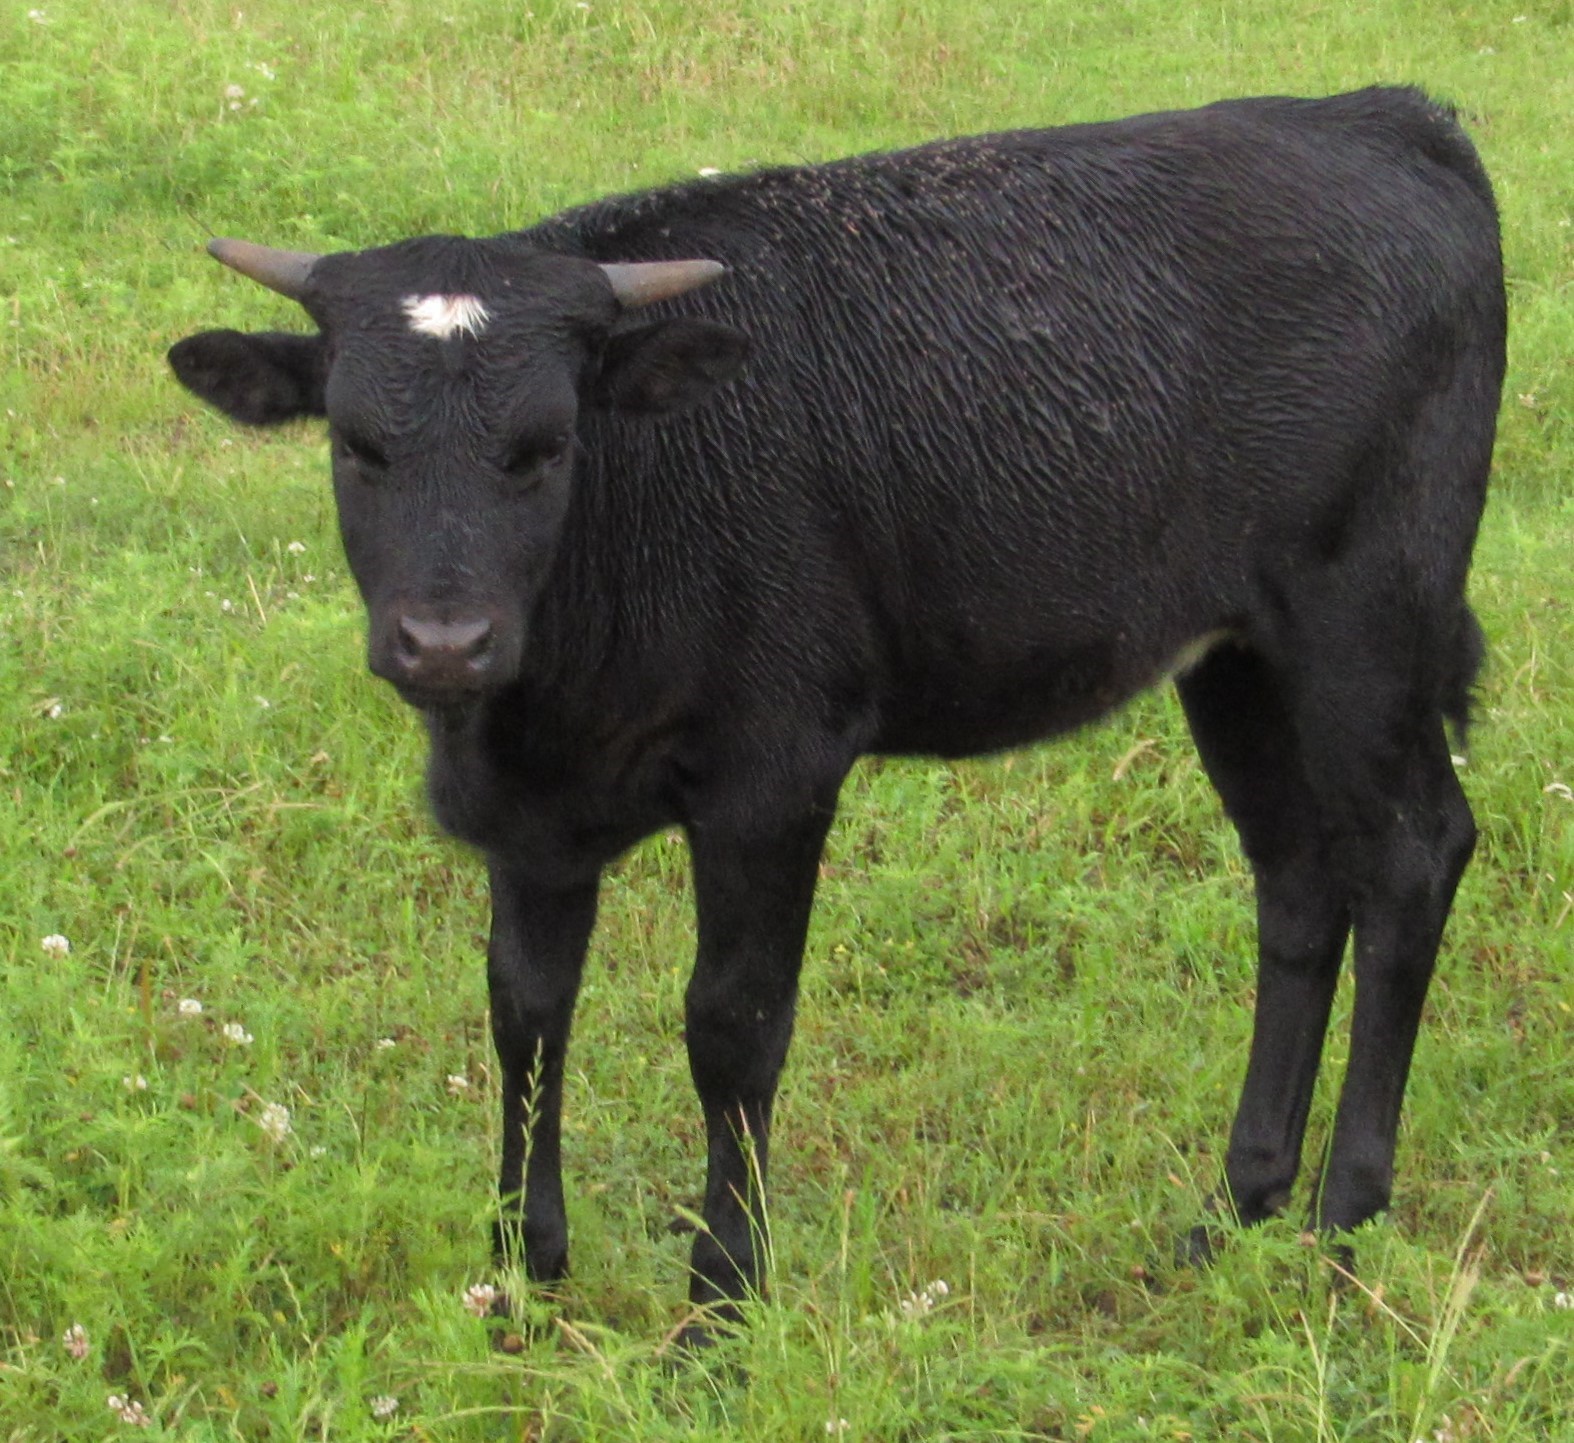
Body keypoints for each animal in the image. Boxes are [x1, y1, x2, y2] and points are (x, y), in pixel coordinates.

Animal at [167, 86, 1506, 1343]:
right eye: (356, 445)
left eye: (546, 445)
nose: (445, 642)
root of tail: (1379, 118)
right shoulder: (532, 819)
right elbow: (525, 1013)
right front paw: (521, 1277)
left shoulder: (775, 772)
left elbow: (732, 1025)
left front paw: (719, 1305)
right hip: (1233, 655)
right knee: (1296, 880)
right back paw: (1236, 1209)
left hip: (1363, 621)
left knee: (1409, 857)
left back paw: (1343, 1220)